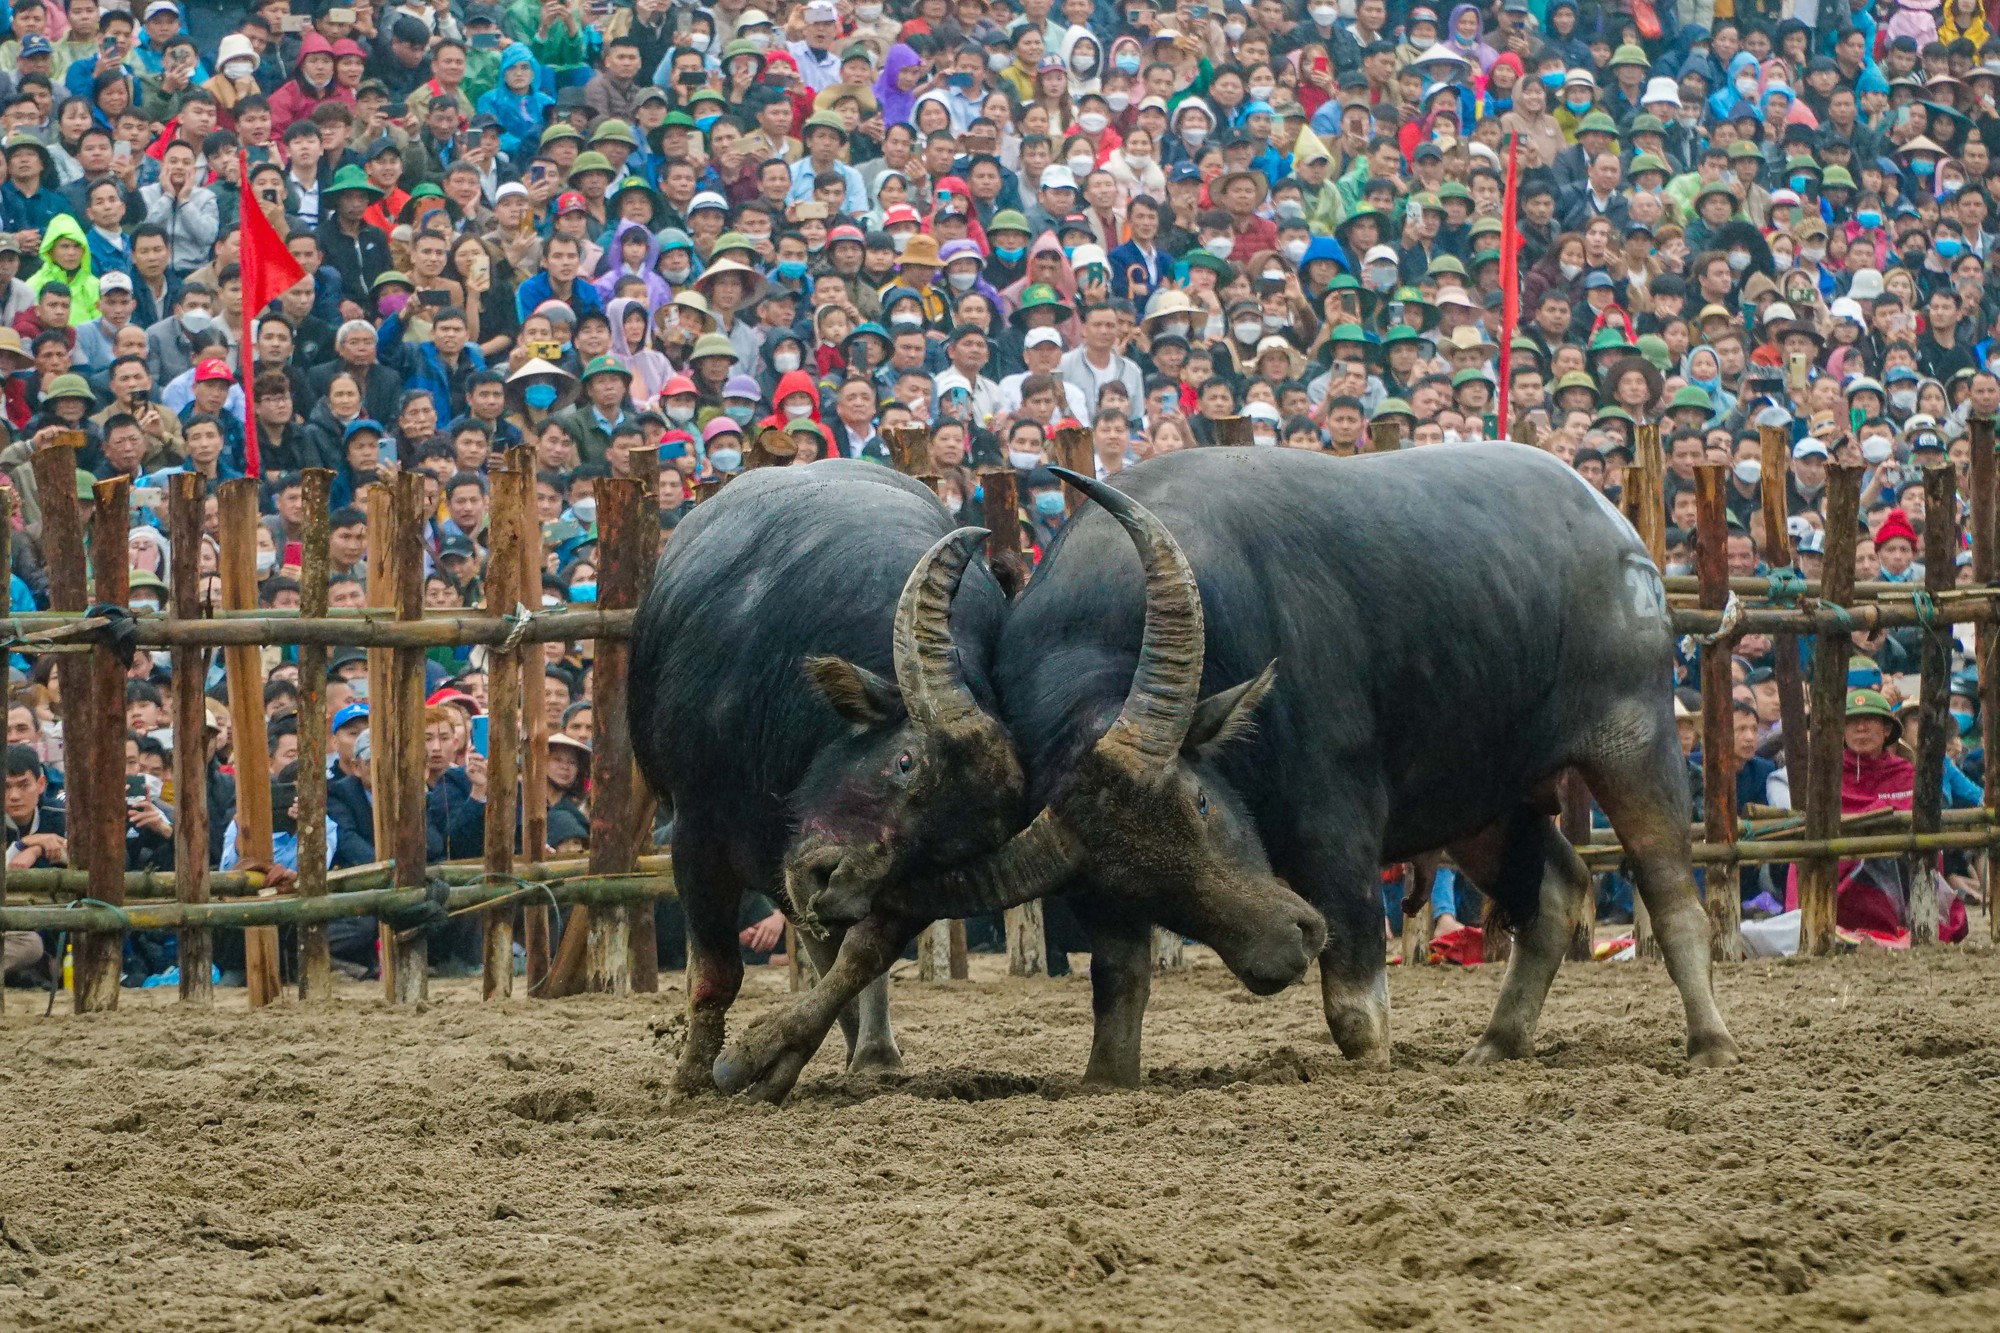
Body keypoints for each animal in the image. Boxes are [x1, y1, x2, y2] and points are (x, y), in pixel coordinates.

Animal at [628, 462, 1032, 1096]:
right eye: (905, 761)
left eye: (950, 850)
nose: (833, 886)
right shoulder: (696, 831)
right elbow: (717, 972)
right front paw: (690, 1083)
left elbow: (860, 960)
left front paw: (788, 1055)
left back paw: (866, 1051)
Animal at [812, 440, 1736, 1088]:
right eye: (1142, 888)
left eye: (1202, 805)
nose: (1284, 948)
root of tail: (1620, 537)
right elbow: (1118, 994)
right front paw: (1106, 1075)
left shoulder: (1339, 827)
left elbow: (1356, 1006)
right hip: (1484, 802)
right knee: (1554, 890)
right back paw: (1496, 1043)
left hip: (1634, 737)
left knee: (1670, 891)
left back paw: (1711, 1041)